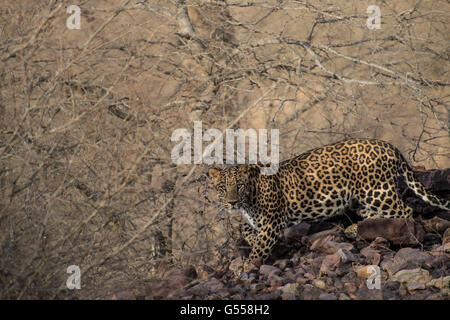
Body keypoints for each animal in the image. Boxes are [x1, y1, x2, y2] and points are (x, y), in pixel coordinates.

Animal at [208, 139, 450, 264]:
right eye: (223, 188)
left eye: (239, 186)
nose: (232, 202)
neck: (249, 198)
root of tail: (389, 146)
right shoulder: (259, 222)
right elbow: (246, 231)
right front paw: (250, 239)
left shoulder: (272, 222)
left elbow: (259, 248)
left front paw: (246, 267)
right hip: (360, 200)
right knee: (373, 216)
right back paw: (354, 229)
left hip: (376, 191)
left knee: (404, 211)